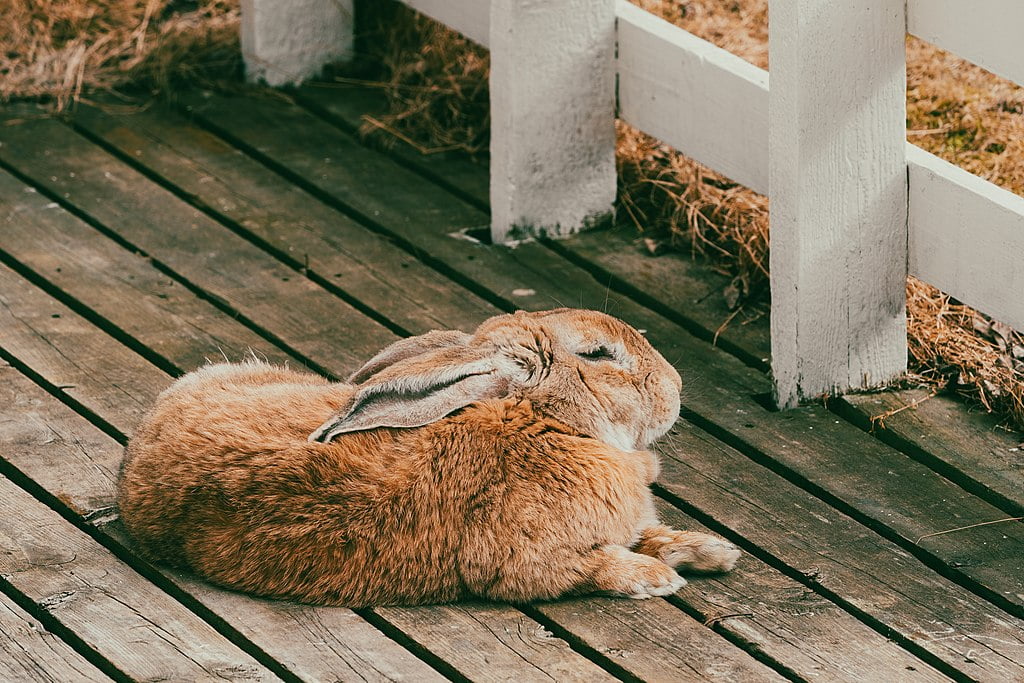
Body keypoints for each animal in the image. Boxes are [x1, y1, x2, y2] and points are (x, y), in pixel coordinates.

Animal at [118, 308, 740, 607]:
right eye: (599, 354)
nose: (676, 386)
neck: (545, 419)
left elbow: (653, 534)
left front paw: (713, 552)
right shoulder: (525, 564)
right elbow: (597, 565)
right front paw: (656, 578)